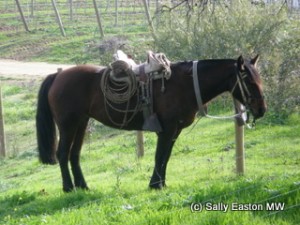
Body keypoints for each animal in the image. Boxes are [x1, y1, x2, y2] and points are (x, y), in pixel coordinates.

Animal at [35, 54, 268, 192]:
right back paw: (68, 188)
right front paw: (155, 185)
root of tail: (58, 76)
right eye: (248, 80)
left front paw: (161, 183)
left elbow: (165, 157)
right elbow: (159, 156)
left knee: (74, 155)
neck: (184, 85)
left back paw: (83, 186)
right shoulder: (166, 130)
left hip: (81, 123)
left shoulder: (174, 131)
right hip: (67, 125)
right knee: (62, 154)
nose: (261, 110)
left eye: (260, 78)